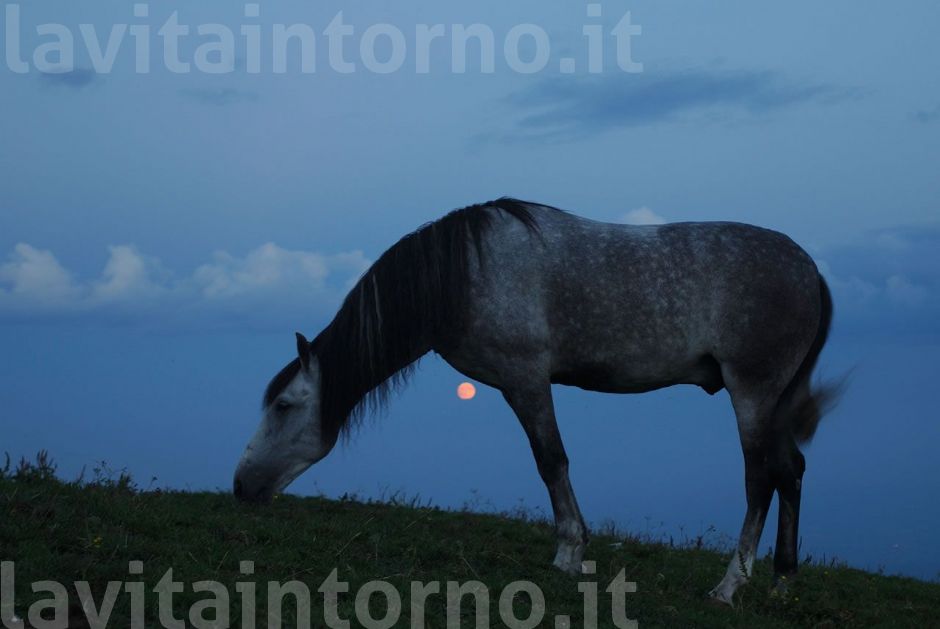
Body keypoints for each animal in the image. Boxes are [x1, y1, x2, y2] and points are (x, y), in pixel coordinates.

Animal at [233, 198, 838, 605]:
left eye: (284, 405)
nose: (242, 486)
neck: (463, 274)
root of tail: (811, 271)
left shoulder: (525, 380)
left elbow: (551, 461)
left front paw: (569, 553)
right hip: (775, 400)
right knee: (792, 470)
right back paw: (783, 580)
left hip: (753, 392)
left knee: (760, 478)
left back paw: (730, 585)